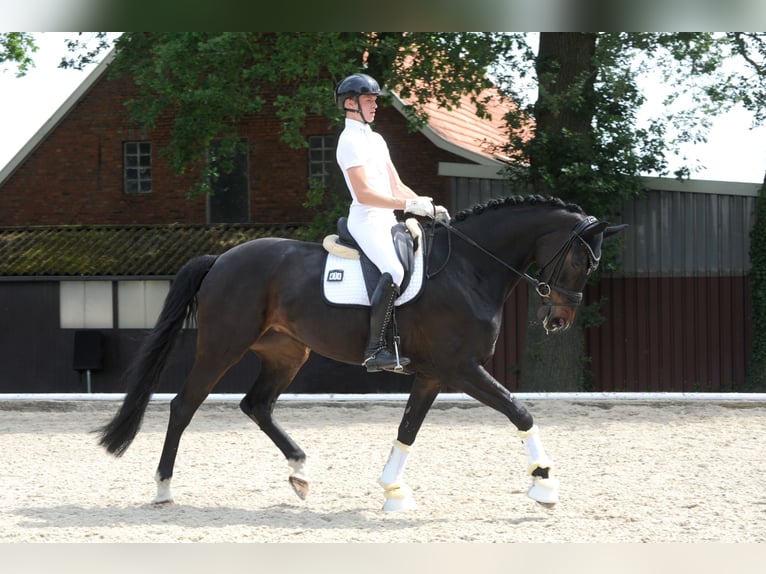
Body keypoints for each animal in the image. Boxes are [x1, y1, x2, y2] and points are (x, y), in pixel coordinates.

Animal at [96, 195, 628, 512]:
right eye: (580, 261)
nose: (558, 321)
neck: (470, 268)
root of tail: (222, 258)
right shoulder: (462, 369)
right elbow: (521, 412)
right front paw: (544, 484)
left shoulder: (434, 375)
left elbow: (407, 431)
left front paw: (393, 490)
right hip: (221, 347)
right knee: (184, 406)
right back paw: (164, 487)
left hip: (287, 354)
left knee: (257, 405)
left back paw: (300, 471)